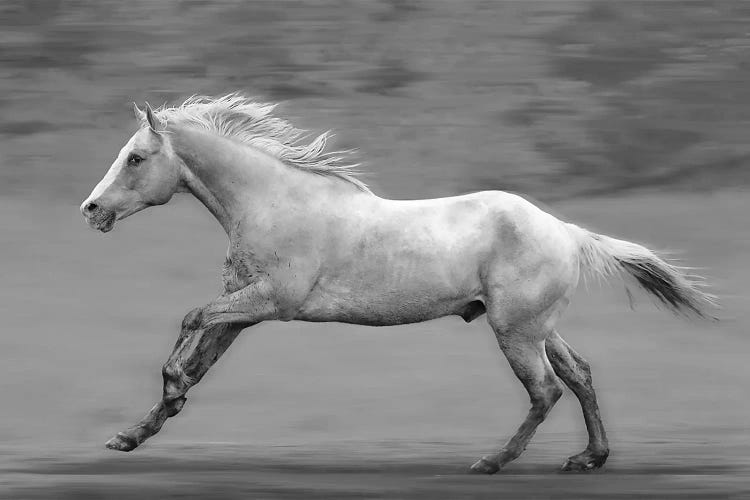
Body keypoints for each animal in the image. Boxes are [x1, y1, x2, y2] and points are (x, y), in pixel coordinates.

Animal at [82, 93, 716, 472]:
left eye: (136, 158)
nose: (92, 210)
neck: (272, 203)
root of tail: (566, 230)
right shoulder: (244, 309)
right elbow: (201, 356)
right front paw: (133, 434)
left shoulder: (269, 302)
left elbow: (190, 322)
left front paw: (168, 394)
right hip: (536, 327)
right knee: (578, 375)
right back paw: (589, 458)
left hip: (515, 331)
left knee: (545, 391)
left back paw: (492, 462)